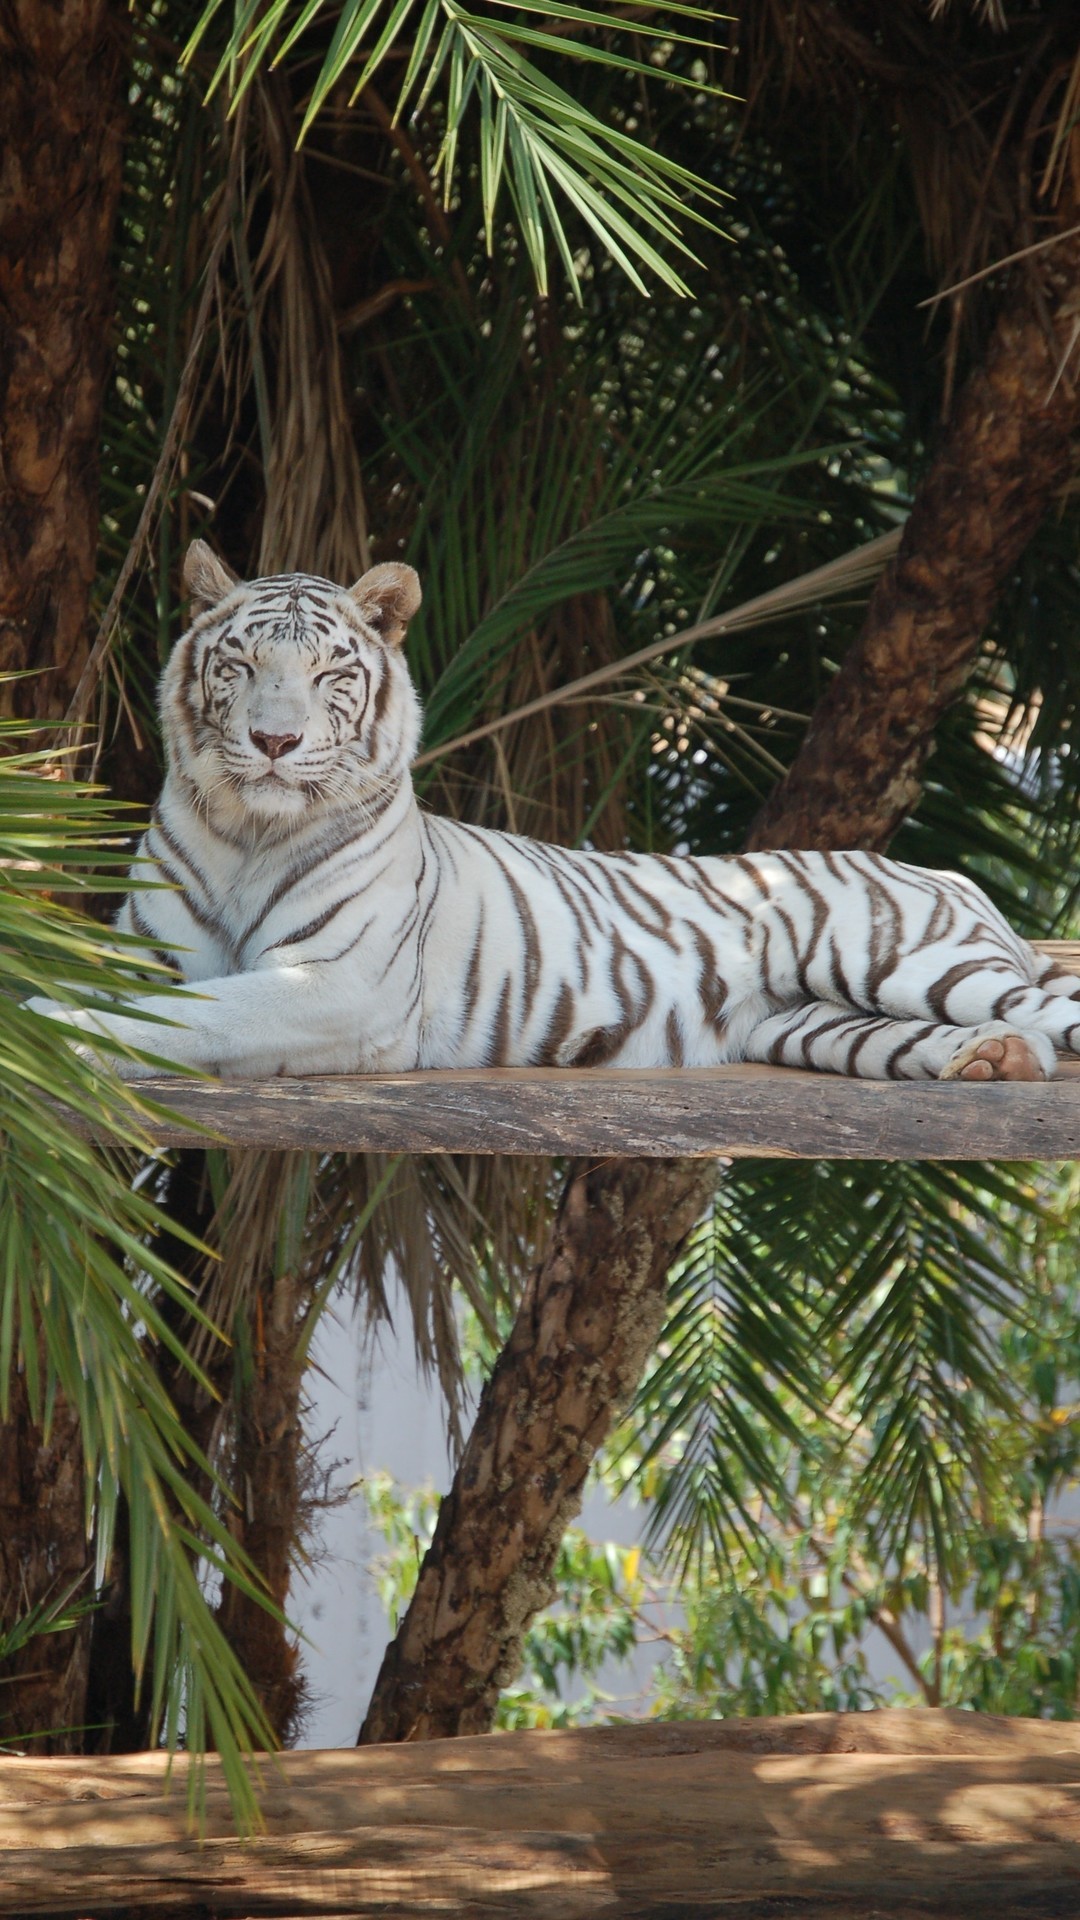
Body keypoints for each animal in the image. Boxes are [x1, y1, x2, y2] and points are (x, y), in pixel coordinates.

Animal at [31, 545, 1076, 1082]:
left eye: (327, 674)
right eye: (241, 665)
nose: (275, 742)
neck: (251, 831)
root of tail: (944, 870)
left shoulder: (342, 985)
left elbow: (195, 1013)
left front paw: (49, 1029)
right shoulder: (152, 946)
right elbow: (148, 990)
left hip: (908, 960)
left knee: (1048, 1011)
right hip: (809, 1022)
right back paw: (990, 1062)